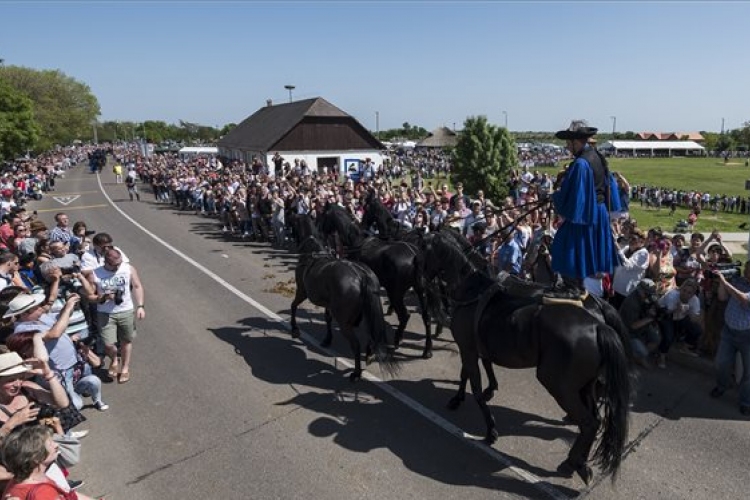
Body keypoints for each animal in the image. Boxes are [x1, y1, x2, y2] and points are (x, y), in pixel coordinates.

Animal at [290, 236, 402, 380]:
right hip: (366, 314)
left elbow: (293, 306)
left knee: (356, 344)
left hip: (345, 323)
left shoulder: (302, 291)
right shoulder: (328, 304)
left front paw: (294, 329)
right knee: (370, 333)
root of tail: (361, 275)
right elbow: (327, 318)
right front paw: (327, 339)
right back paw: (369, 354)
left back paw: (356, 373)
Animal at [318, 203, 440, 360]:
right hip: (420, 290)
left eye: (323, 214)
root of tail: (415, 255)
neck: (356, 241)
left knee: (404, 315)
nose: (319, 231)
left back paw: (397, 340)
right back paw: (427, 349)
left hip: (396, 293)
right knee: (427, 317)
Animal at [420, 233, 632, 484]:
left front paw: (490, 429)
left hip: (559, 384)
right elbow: (472, 372)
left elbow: (474, 384)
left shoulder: (468, 348)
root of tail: (598, 325)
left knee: (589, 422)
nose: (421, 277)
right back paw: (579, 462)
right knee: (595, 419)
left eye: (424, 250)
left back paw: (571, 462)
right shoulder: (472, 347)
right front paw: (464, 396)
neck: (472, 291)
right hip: (584, 385)